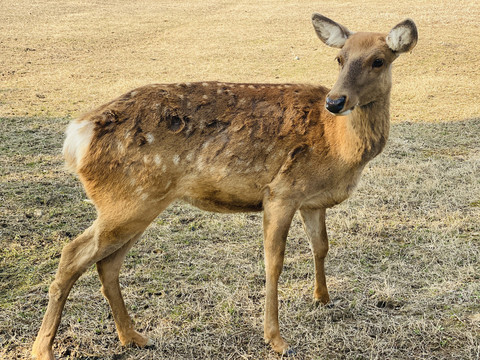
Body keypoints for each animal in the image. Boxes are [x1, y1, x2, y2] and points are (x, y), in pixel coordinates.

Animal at [32, 12, 416, 358]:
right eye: (339, 59)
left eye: (378, 60)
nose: (335, 101)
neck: (337, 145)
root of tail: (77, 135)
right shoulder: (281, 191)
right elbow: (273, 262)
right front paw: (277, 340)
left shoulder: (311, 200)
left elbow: (320, 246)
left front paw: (322, 298)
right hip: (128, 200)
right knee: (73, 253)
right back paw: (43, 349)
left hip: (137, 203)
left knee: (107, 264)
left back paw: (134, 337)